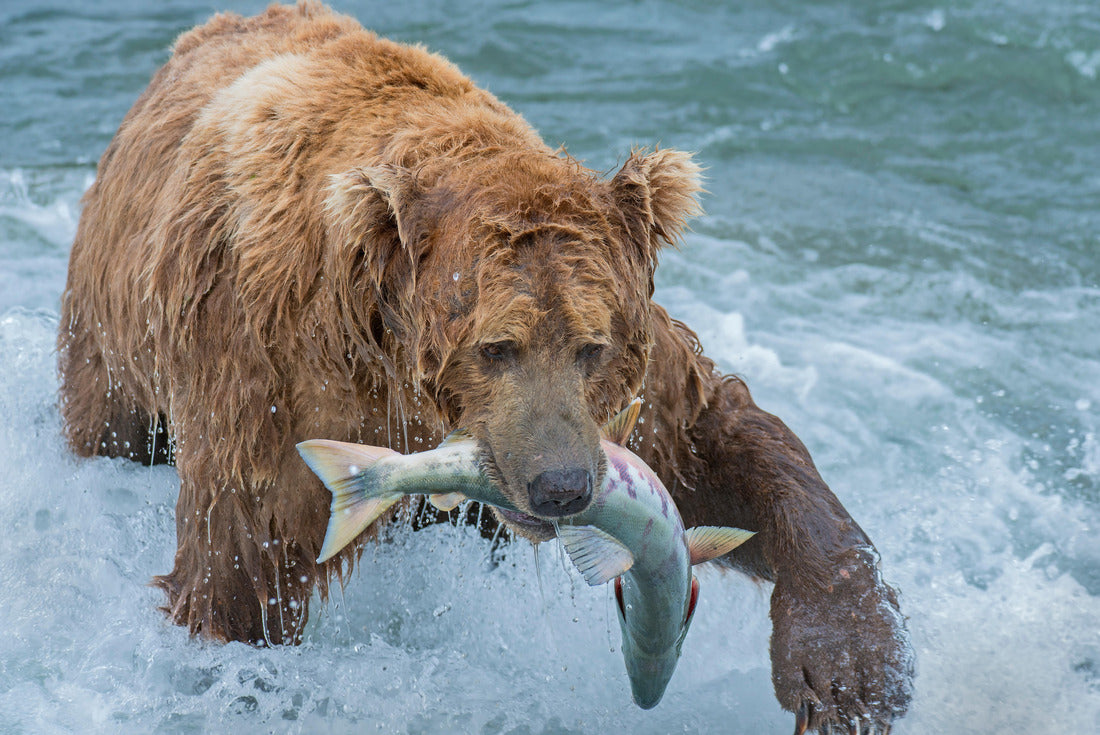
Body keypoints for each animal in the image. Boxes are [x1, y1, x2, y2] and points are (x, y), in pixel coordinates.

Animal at [56, 2, 912, 732]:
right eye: (496, 347)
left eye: (592, 344)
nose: (562, 486)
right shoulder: (277, 378)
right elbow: (244, 570)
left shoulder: (627, 405)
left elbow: (724, 447)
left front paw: (850, 673)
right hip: (112, 350)